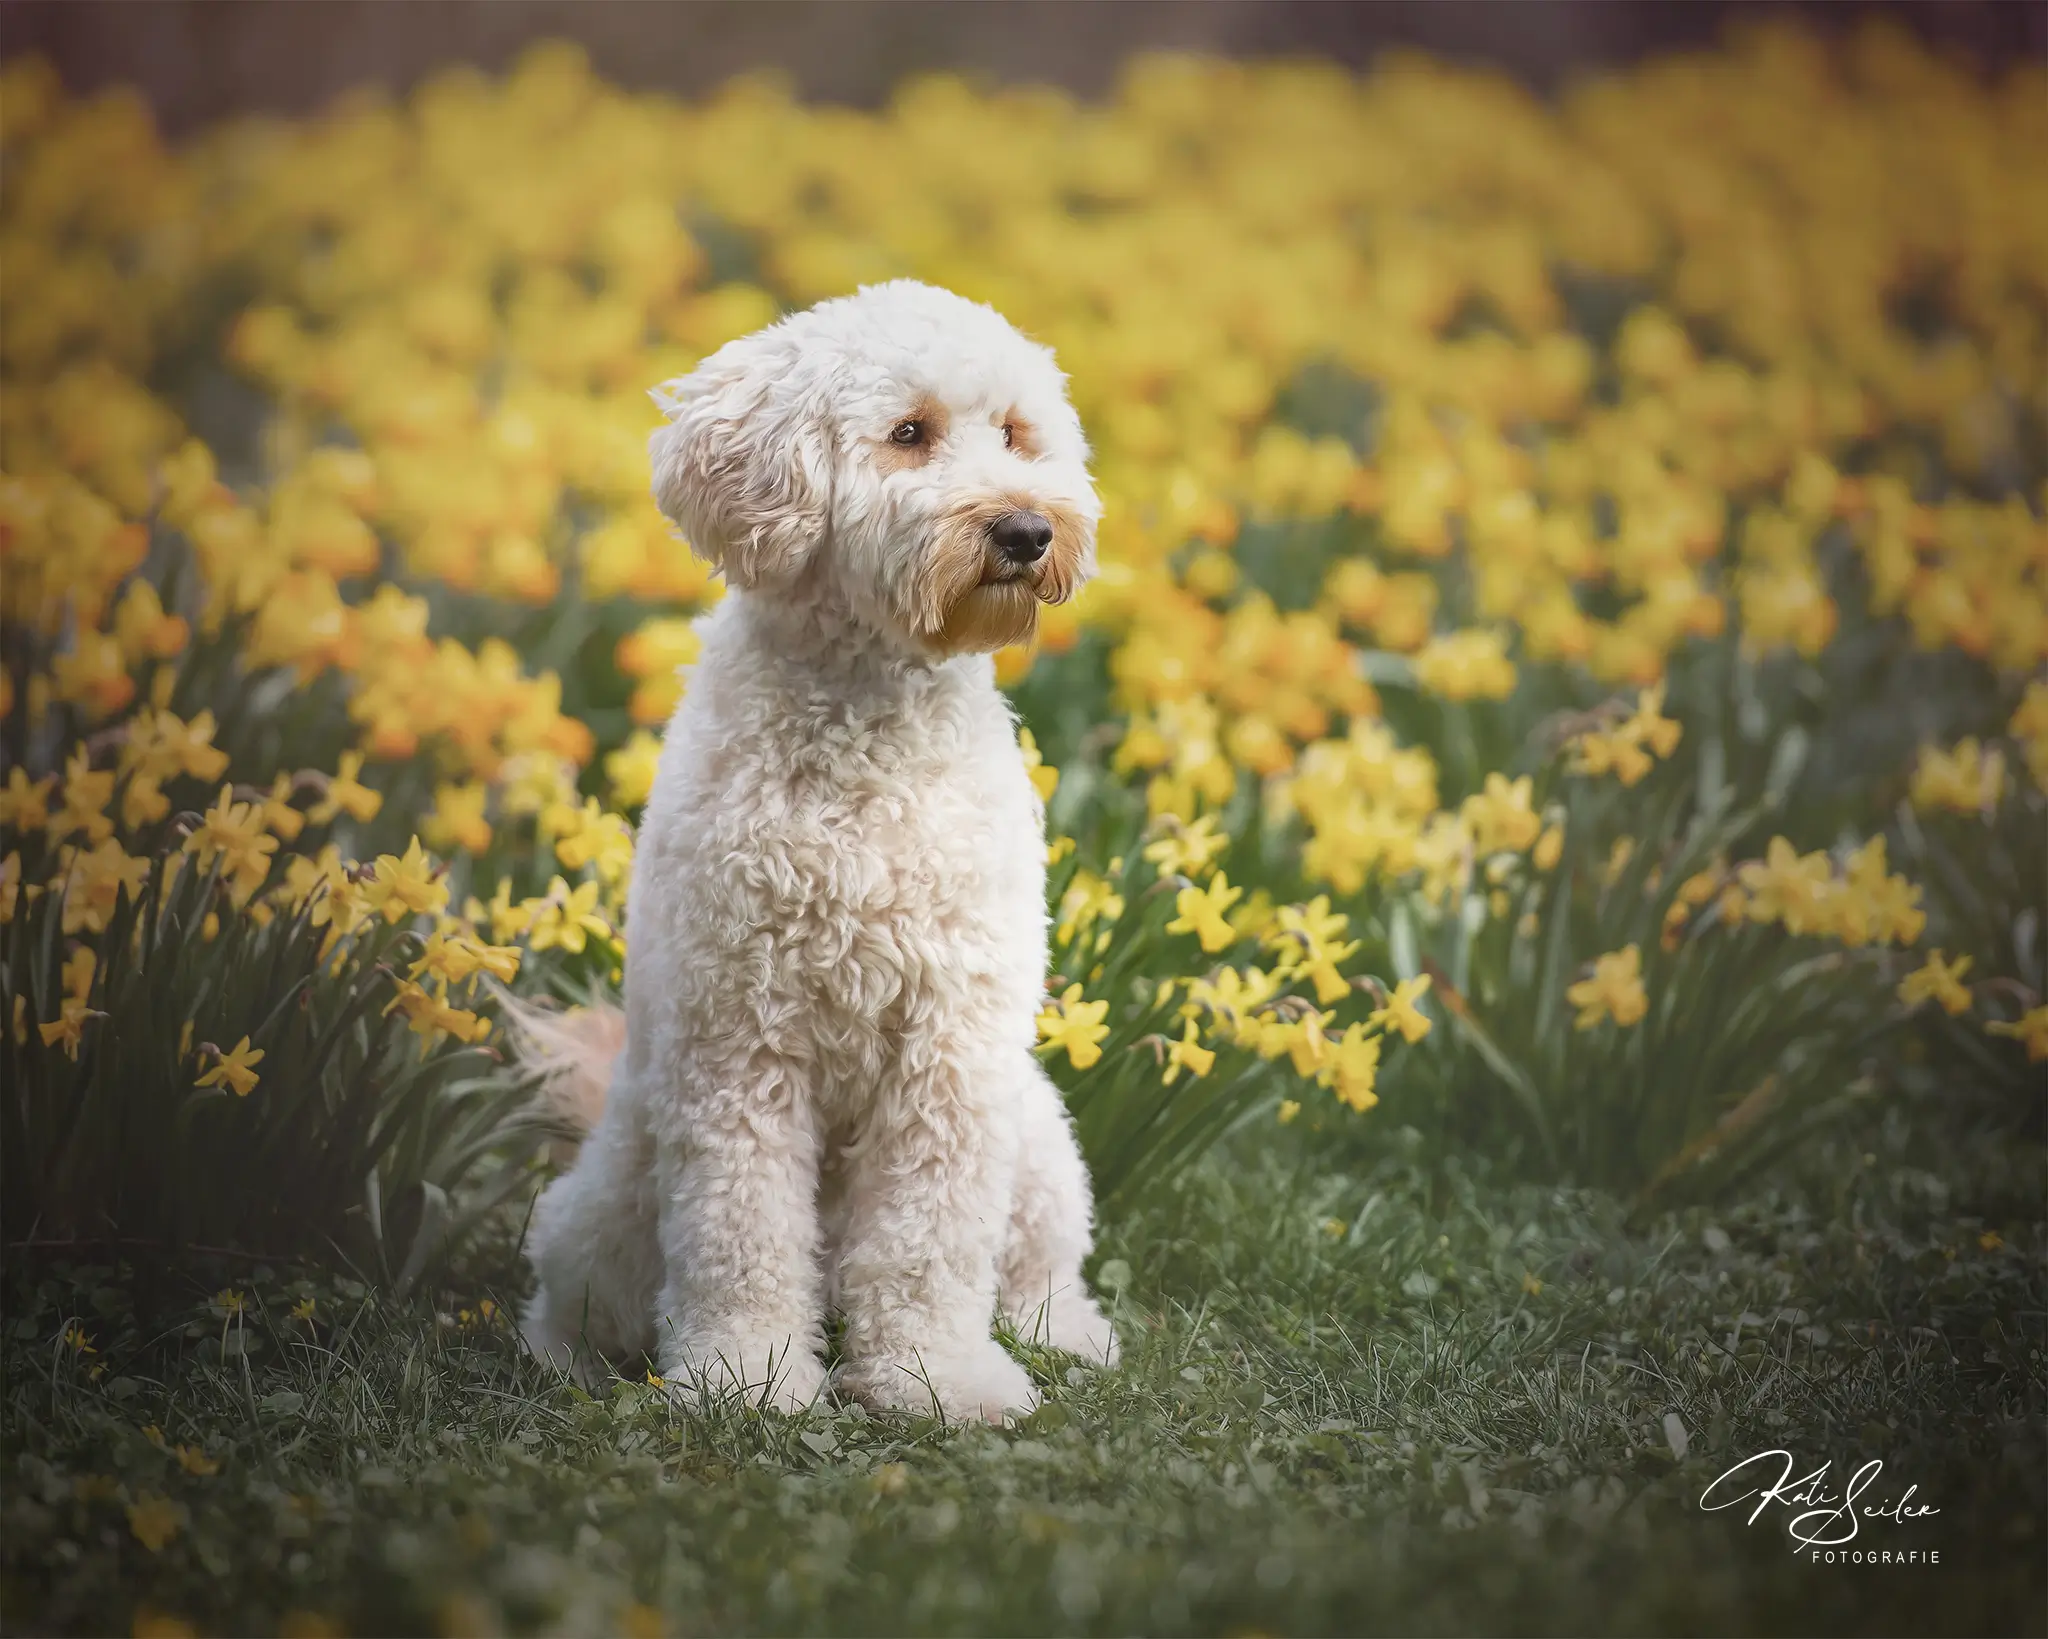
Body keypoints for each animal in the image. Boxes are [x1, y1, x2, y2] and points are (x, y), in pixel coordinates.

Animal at [520, 278, 1114, 1417]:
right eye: (908, 433)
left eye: (1017, 434)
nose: (1026, 529)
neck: (869, 721)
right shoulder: (738, 1039)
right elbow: (740, 1227)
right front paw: (744, 1376)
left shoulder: (951, 1045)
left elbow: (931, 1236)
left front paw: (938, 1376)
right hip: (608, 1198)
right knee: (577, 1291)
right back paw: (565, 1357)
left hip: (1037, 1142)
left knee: (1041, 1267)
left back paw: (1058, 1334)